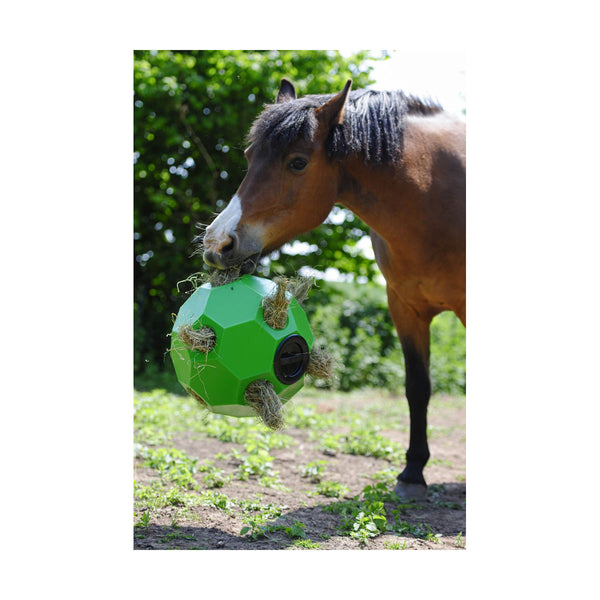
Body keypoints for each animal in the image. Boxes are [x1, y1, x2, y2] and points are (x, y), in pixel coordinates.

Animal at [202, 79, 464, 502]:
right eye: (248, 155)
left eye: (297, 162)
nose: (216, 244)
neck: (434, 195)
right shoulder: (404, 308)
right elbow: (417, 387)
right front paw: (412, 473)